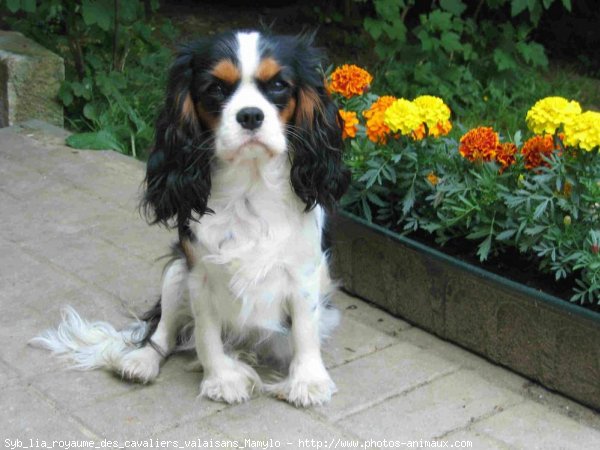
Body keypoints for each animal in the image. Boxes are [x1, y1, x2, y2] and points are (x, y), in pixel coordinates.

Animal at [30, 30, 352, 408]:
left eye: (278, 85)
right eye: (215, 88)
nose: (250, 115)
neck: (249, 186)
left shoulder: (304, 273)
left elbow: (304, 330)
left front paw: (308, 381)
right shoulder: (199, 273)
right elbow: (206, 334)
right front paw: (222, 379)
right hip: (175, 272)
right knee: (163, 331)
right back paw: (142, 361)